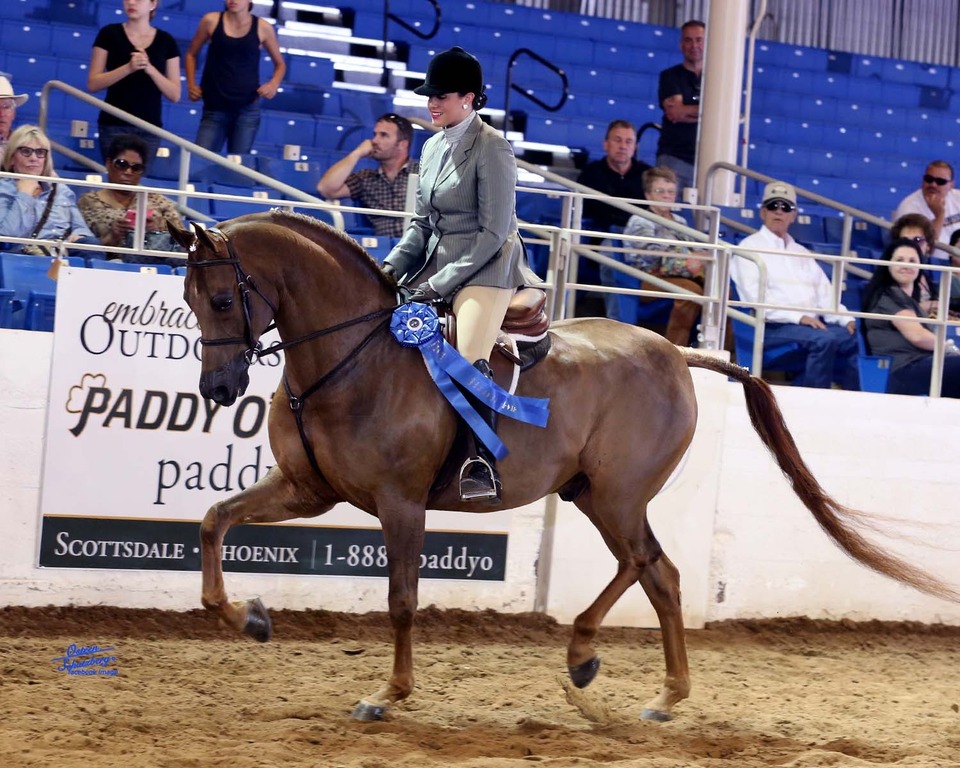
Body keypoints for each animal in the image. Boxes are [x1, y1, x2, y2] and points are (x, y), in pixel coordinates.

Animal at [170, 210, 956, 723]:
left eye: (222, 297)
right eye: (187, 299)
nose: (217, 389)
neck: (353, 358)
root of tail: (676, 353)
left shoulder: (401, 504)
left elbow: (401, 601)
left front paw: (387, 695)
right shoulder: (311, 490)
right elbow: (213, 520)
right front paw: (246, 618)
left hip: (616, 495)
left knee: (651, 568)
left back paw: (619, 670)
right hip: (594, 496)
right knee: (654, 572)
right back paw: (627, 677)